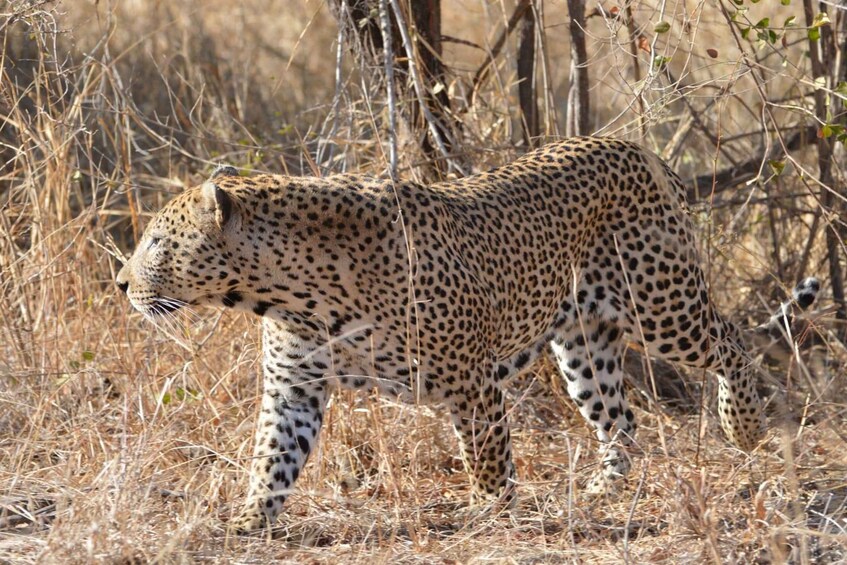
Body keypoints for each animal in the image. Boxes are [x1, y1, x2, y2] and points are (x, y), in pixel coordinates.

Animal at [115, 137, 819, 533]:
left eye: (157, 245)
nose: (120, 284)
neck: (290, 292)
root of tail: (642, 152)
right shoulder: (294, 385)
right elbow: (271, 457)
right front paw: (245, 521)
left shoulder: (469, 381)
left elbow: (486, 457)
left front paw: (490, 513)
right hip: (582, 342)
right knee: (621, 420)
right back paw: (601, 490)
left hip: (660, 303)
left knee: (731, 341)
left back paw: (743, 425)